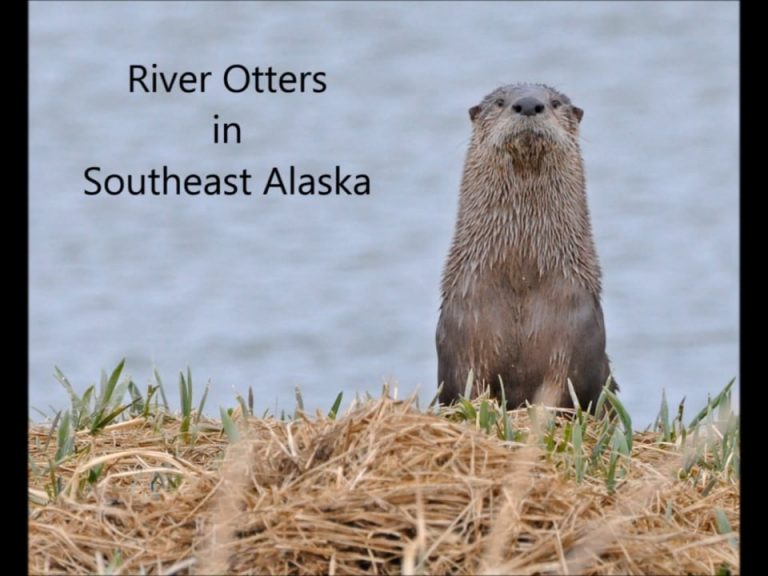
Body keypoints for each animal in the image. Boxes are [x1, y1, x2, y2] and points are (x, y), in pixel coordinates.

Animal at [436, 83, 617, 411]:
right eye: (499, 102)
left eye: (555, 103)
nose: (530, 104)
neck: (522, 279)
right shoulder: (462, 335)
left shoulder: (577, 337)